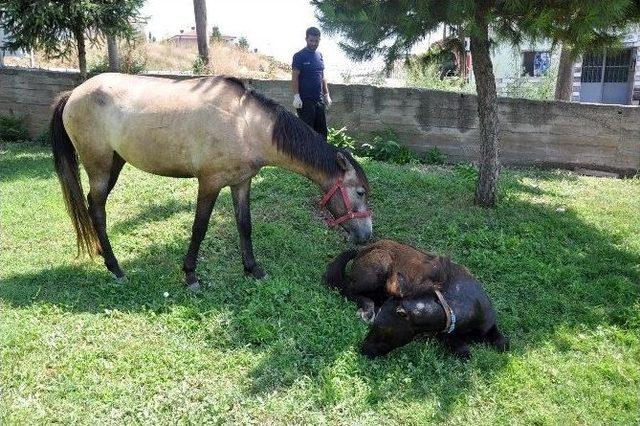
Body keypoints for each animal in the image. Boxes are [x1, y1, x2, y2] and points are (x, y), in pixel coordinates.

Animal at [50, 73, 372, 290]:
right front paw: (190, 274)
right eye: (359, 192)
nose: (367, 236)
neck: (245, 124)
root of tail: (74, 93)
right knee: (98, 210)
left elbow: (245, 226)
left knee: (93, 206)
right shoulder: (210, 183)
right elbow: (199, 228)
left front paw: (253, 269)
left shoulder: (241, 183)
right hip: (99, 166)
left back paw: (103, 254)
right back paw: (115, 268)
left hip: (114, 164)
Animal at [324, 240, 510, 360]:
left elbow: (503, 344)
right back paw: (367, 310)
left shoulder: (490, 325)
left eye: (382, 329)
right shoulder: (443, 336)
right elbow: (465, 352)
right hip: (377, 270)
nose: (363, 348)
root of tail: (363, 249)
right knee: (347, 289)